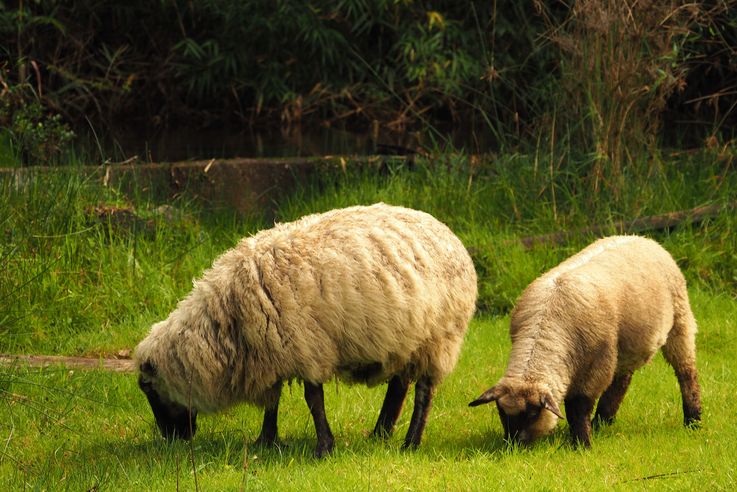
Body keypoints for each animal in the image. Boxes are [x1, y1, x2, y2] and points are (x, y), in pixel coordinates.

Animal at [134, 203, 478, 458]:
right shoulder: (270, 350)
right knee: (399, 385)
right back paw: (380, 433)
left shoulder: (307, 348)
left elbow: (313, 400)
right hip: (405, 339)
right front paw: (266, 441)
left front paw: (323, 448)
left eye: (148, 388)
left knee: (424, 392)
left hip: (439, 337)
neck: (227, 317)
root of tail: (447, 231)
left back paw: (410, 443)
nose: (173, 439)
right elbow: (272, 401)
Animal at [468, 236, 700, 448]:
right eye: (501, 411)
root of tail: (645, 239)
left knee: (686, 372)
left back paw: (693, 420)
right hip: (626, 346)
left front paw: (581, 443)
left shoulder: (596, 366)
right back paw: (602, 422)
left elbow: (577, 406)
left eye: (533, 413)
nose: (513, 445)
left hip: (680, 322)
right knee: (622, 380)